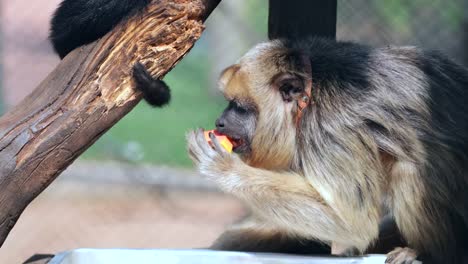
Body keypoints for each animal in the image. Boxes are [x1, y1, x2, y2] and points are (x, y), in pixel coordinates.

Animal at [186, 37, 468, 264]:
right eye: (229, 105)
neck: (309, 97)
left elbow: (352, 222)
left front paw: (224, 168)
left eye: (239, 108)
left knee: (409, 169)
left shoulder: (330, 125)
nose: (220, 122)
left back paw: (425, 252)